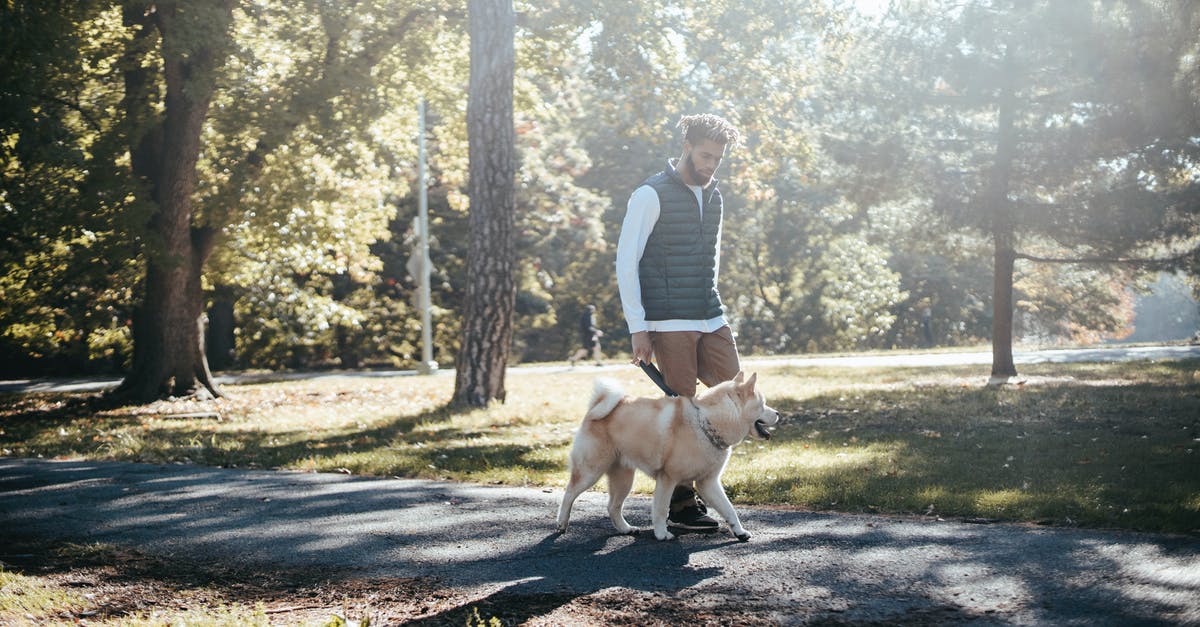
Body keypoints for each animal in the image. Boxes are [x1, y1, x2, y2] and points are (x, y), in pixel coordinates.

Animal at [554, 367, 777, 538]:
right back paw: (562, 523)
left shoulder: (708, 483)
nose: (778, 413)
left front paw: (740, 532)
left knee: (613, 507)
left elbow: (729, 509)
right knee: (569, 492)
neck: (706, 422)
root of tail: (596, 408)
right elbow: (661, 510)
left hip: (623, 479)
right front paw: (662, 534)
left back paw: (626, 529)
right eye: (763, 404)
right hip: (591, 472)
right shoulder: (668, 479)